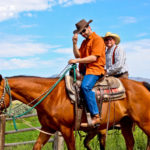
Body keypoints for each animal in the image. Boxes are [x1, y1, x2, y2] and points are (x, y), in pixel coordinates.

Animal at [0, 74, 150, 150]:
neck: (51, 96)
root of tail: (142, 84)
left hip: (144, 122)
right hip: (126, 123)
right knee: (130, 142)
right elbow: (36, 146)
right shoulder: (47, 128)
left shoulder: (66, 129)